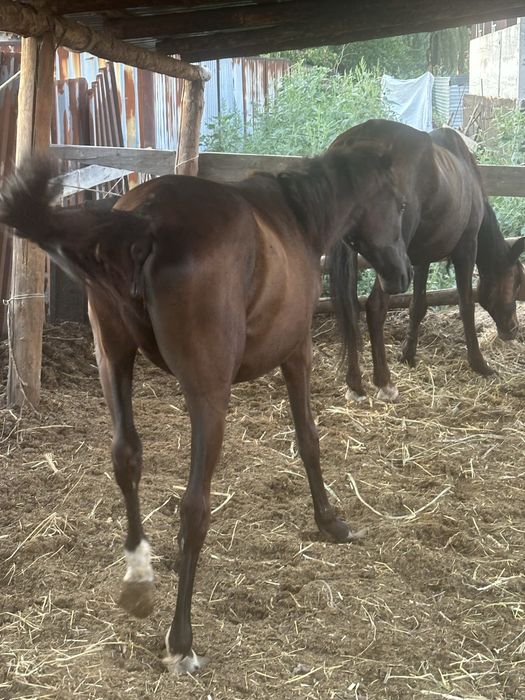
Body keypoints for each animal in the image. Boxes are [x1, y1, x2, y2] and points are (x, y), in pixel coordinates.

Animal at [0, 148, 409, 673]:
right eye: (399, 203)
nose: (401, 274)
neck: (297, 218)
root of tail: (148, 217)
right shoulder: (297, 353)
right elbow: (308, 440)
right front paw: (331, 521)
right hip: (209, 395)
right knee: (195, 505)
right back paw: (182, 641)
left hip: (113, 360)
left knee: (126, 459)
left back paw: (139, 579)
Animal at [329, 120, 525, 402]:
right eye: (517, 280)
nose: (513, 329)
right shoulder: (466, 248)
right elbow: (466, 304)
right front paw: (479, 363)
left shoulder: (420, 258)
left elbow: (418, 305)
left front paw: (408, 355)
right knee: (375, 306)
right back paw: (384, 382)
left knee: (350, 308)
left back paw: (355, 384)